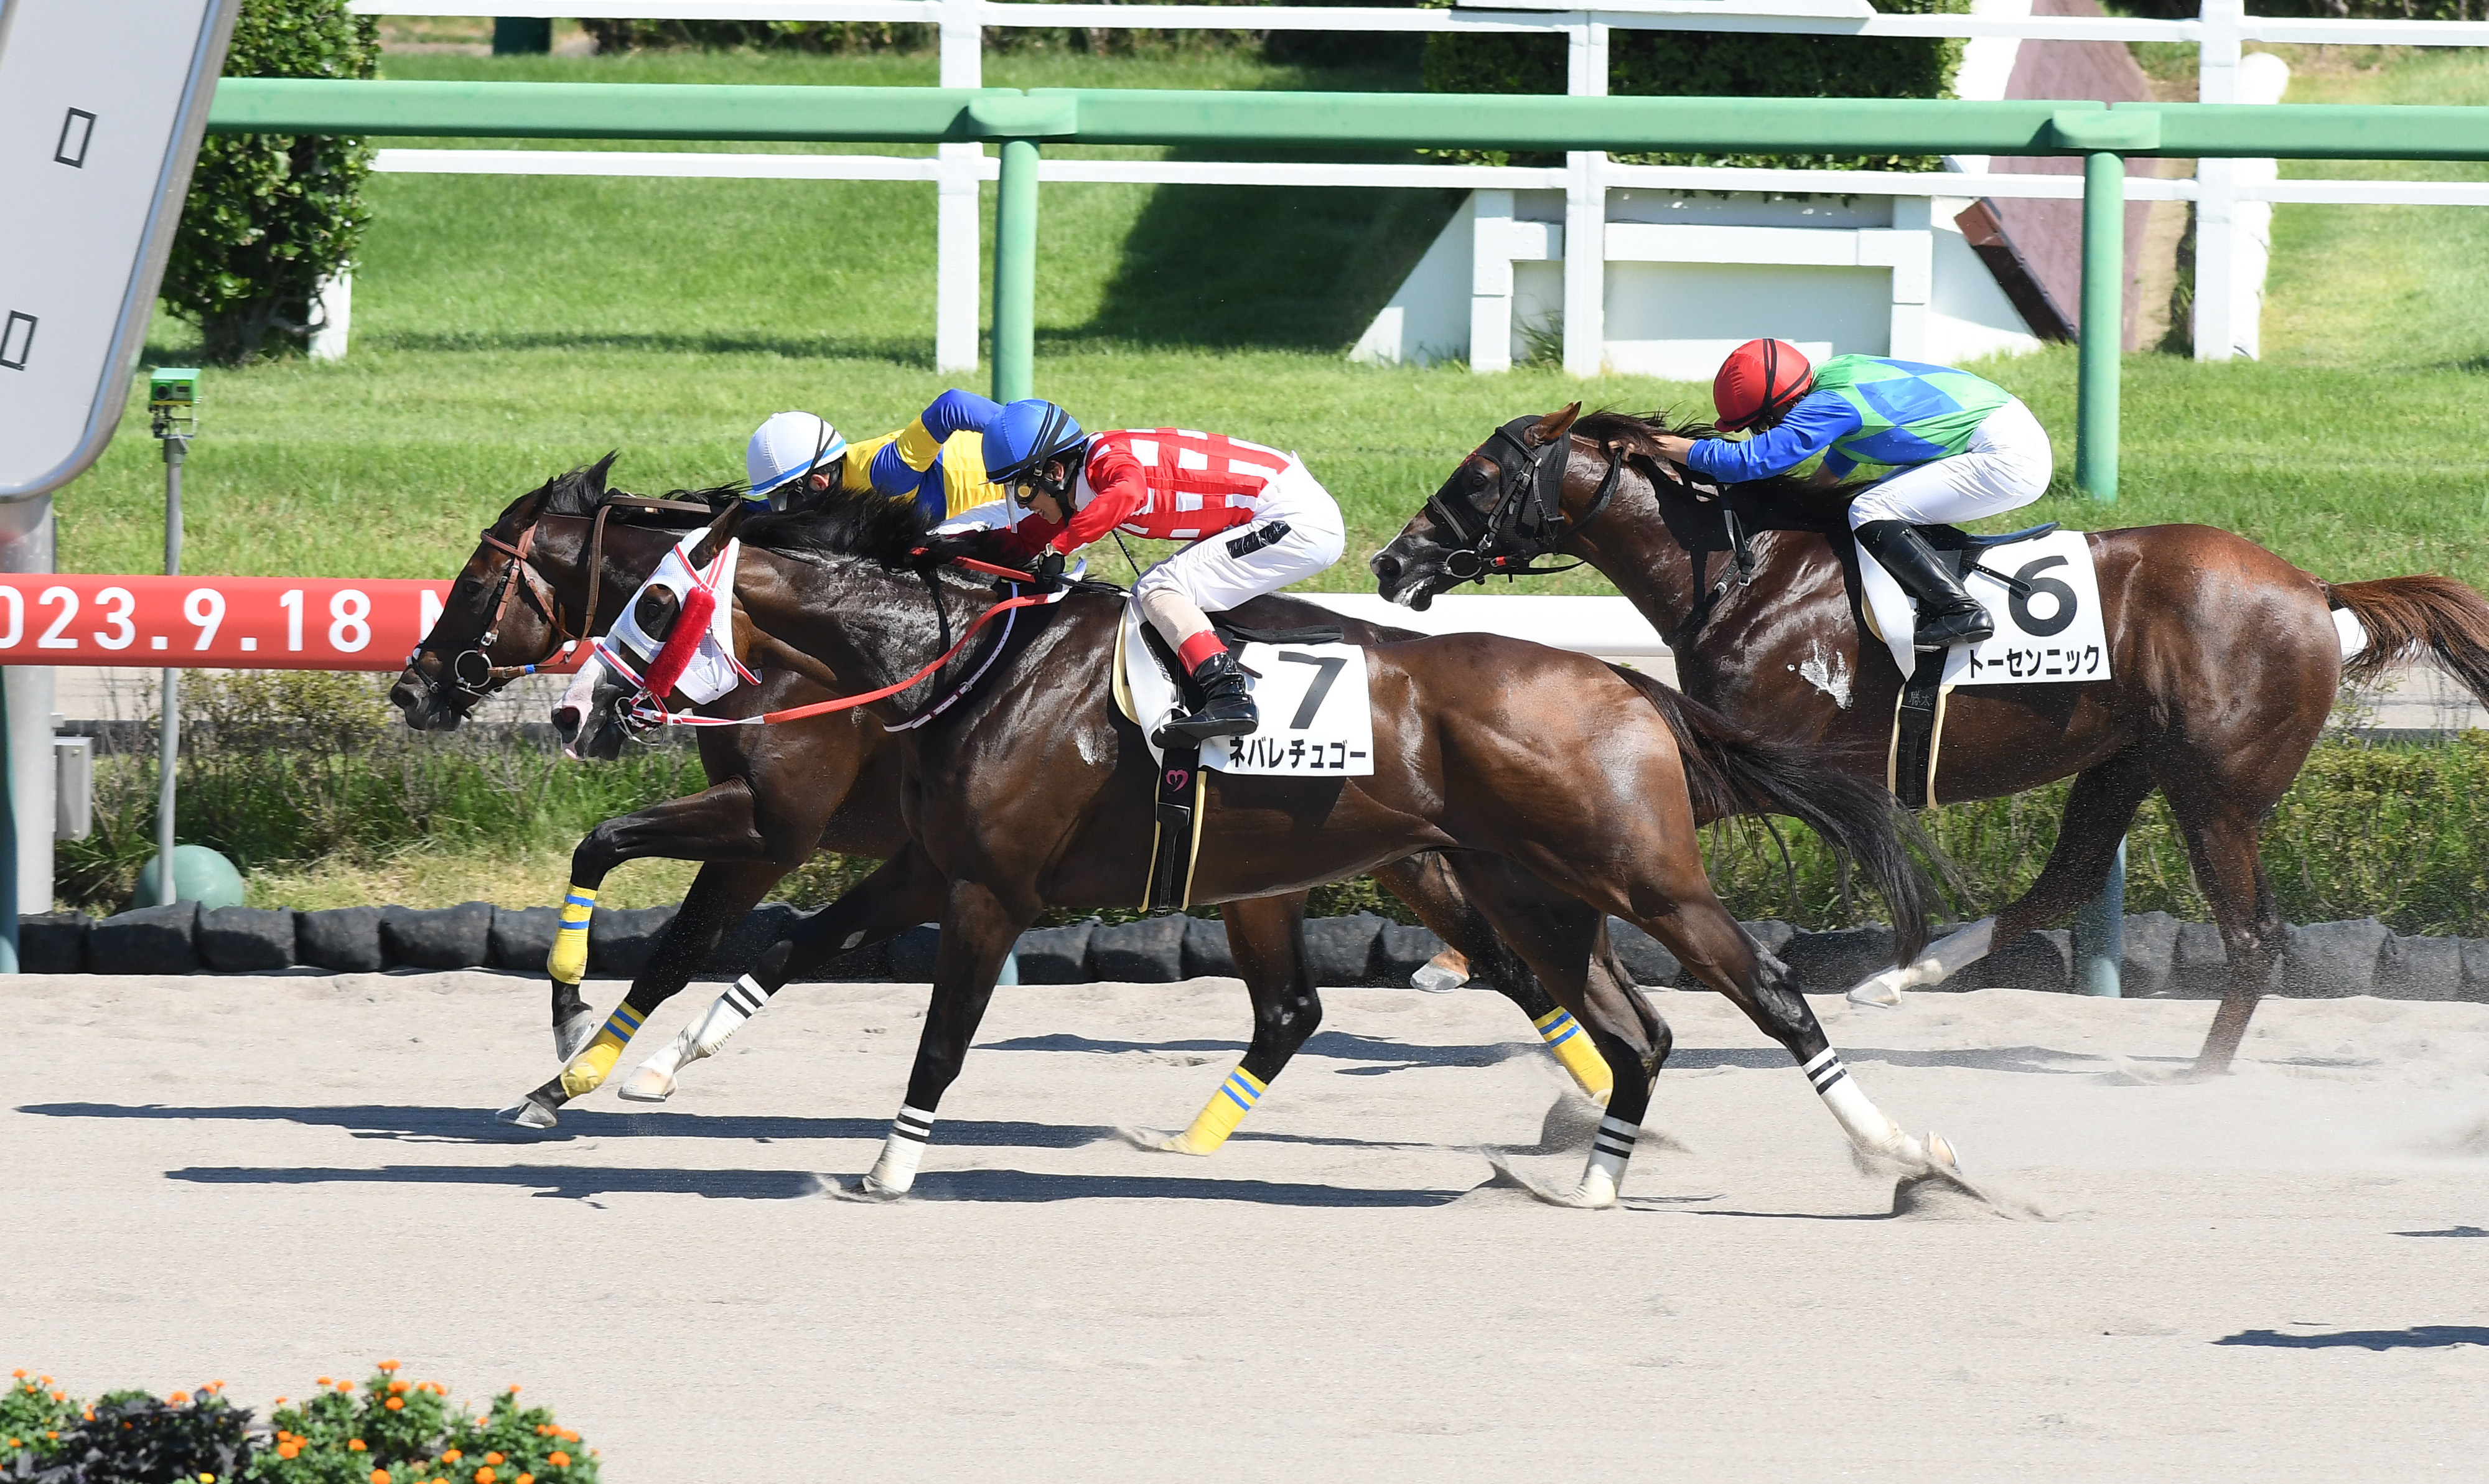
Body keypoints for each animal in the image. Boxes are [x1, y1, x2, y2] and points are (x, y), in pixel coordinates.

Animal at [550, 488, 1961, 1205]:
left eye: (654, 603)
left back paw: (1907, 1156)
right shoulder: (931, 862)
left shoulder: (994, 889)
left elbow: (942, 1033)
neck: (978, 665)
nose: (572, 709)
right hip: (1531, 888)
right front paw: (653, 1064)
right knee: (1635, 1029)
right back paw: (1594, 1181)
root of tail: (1623, 682)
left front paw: (891, 1163)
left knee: (1764, 993)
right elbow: (795, 940)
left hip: (1638, 875)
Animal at [1364, 406, 2489, 1070]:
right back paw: (1900, 977)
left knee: (2253, 937)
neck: (1745, 576)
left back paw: (2201, 1078)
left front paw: (1465, 948)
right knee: (2067, 882)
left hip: (2217, 788)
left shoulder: (1772, 761)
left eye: (1478, 476)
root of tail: (2314, 589)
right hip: (2127, 763)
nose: (1390, 561)